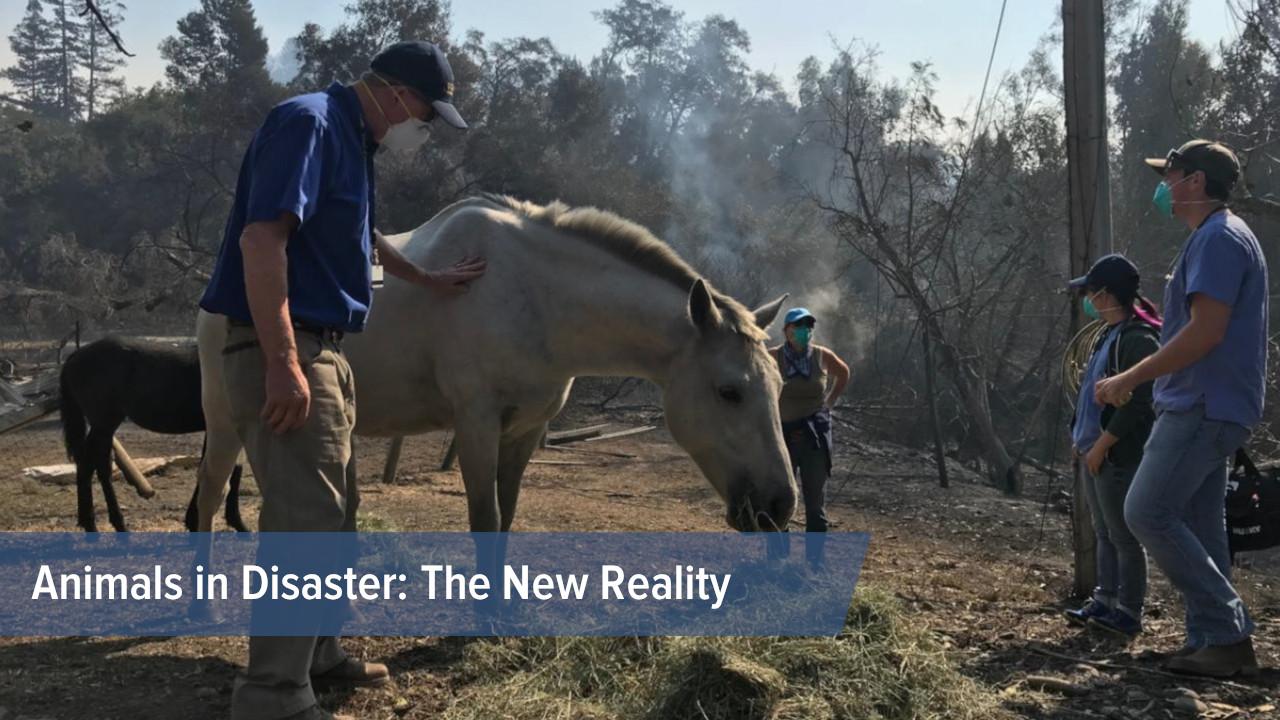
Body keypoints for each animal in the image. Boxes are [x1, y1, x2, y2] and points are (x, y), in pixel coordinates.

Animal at [57, 333, 243, 530]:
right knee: (95, 466)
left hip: (103, 426)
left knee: (91, 465)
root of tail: (75, 356)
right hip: (104, 423)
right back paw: (109, 525)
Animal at [194, 196, 793, 532]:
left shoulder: (525, 430)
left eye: (780, 388)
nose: (780, 505)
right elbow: (485, 519)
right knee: (207, 499)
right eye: (729, 391)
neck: (535, 298)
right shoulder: (477, 425)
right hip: (225, 425)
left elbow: (506, 518)